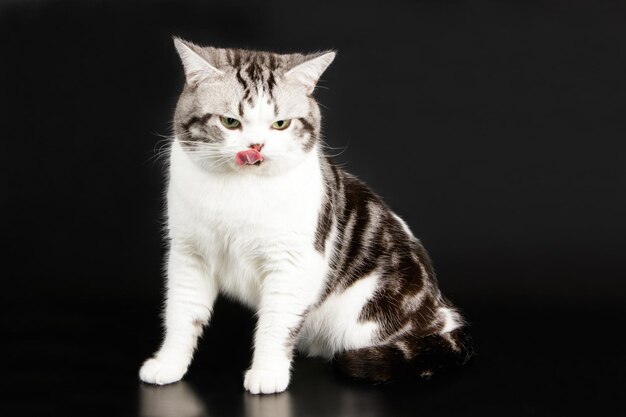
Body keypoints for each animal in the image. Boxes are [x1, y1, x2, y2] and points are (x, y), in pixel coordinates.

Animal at [139, 38, 470, 394]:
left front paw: (268, 372)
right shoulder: (189, 254)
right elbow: (182, 313)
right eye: (230, 122)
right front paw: (169, 363)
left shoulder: (293, 263)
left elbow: (276, 324)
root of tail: (442, 308)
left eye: (280, 124)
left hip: (367, 316)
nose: (255, 146)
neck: (239, 191)